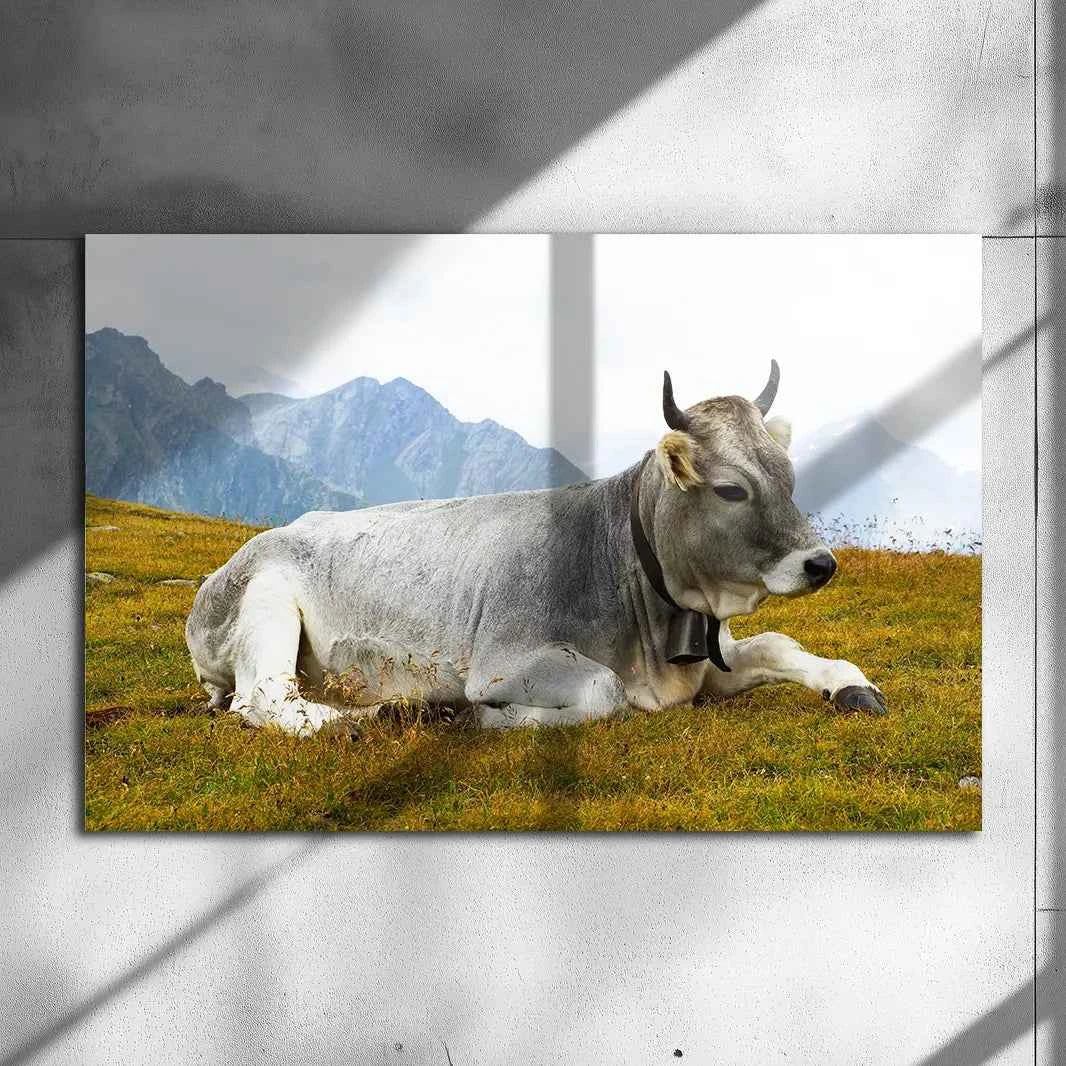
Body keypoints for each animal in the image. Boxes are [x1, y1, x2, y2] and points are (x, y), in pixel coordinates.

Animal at [186, 363, 887, 735]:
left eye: (787, 475)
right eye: (731, 489)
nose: (821, 563)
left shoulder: (705, 663)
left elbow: (779, 645)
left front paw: (850, 684)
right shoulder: (504, 659)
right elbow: (603, 691)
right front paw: (494, 718)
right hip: (265, 602)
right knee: (264, 697)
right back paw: (371, 716)